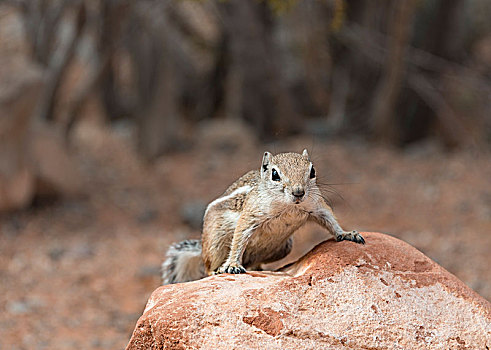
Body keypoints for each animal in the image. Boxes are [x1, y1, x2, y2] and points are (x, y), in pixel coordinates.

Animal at [162, 150, 366, 284]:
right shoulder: (252, 214)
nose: (298, 192)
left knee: (254, 263)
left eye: (312, 171)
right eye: (275, 174)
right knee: (208, 265)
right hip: (215, 241)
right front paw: (233, 264)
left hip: (284, 248)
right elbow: (240, 237)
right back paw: (218, 270)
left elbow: (330, 220)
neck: (289, 207)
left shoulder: (316, 205)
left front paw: (347, 234)